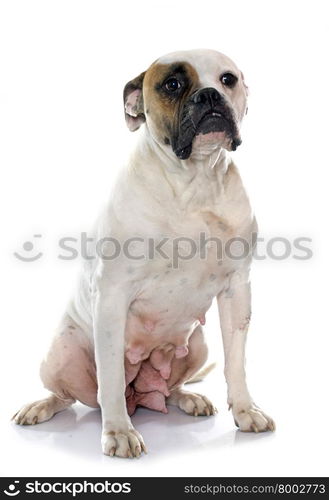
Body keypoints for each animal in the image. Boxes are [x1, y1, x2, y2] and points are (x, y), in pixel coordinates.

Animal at [13, 49, 274, 458]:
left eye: (228, 79)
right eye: (173, 84)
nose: (211, 95)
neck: (194, 181)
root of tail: (141, 396)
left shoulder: (237, 290)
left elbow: (237, 361)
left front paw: (246, 410)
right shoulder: (113, 294)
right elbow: (110, 377)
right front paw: (119, 432)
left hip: (198, 345)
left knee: (169, 389)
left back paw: (188, 398)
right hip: (61, 353)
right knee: (70, 395)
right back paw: (41, 406)